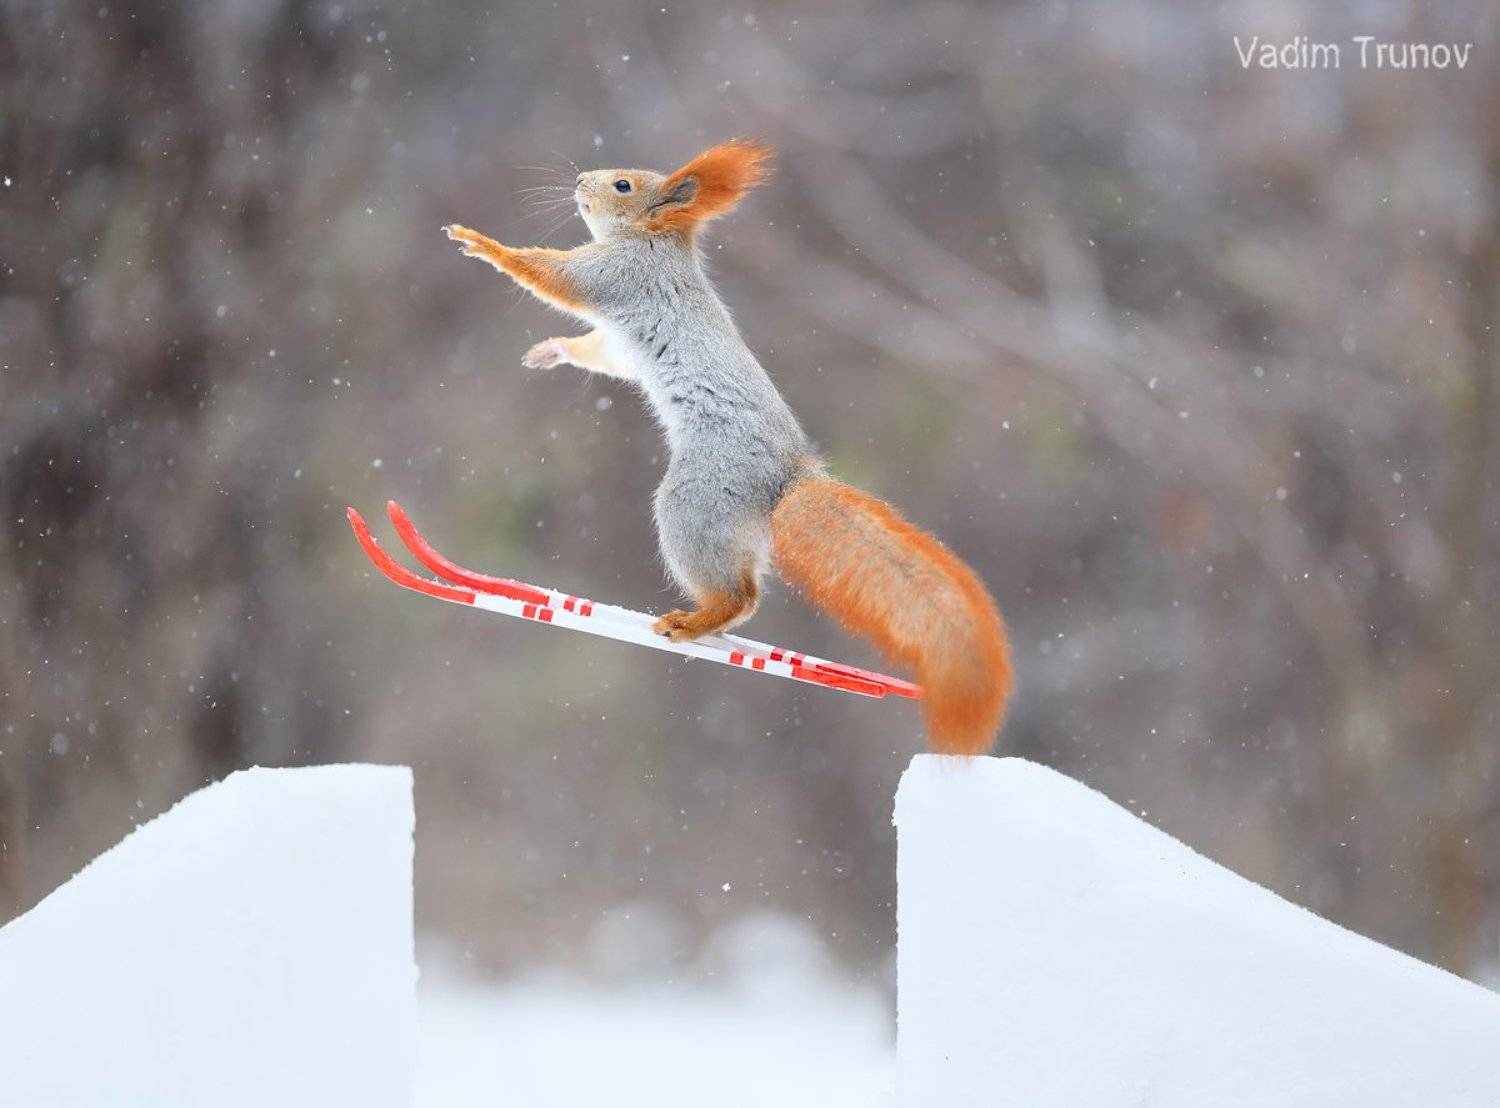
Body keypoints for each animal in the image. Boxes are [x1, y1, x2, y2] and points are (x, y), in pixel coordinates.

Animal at [443, 140, 1012, 755]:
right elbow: (603, 354)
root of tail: (789, 477)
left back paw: (690, 622)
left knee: (740, 596)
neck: (654, 240)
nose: (579, 180)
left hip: (696, 502)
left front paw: (481, 243)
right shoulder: (618, 339)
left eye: (622, 186)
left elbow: (551, 275)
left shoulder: (616, 276)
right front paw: (551, 351)